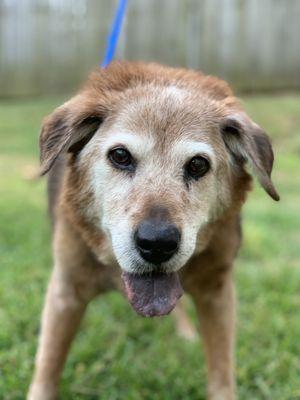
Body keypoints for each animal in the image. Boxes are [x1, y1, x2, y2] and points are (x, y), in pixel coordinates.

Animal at [28, 62, 278, 400]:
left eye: (198, 165)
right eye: (120, 156)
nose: (157, 243)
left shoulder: (217, 292)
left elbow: (222, 373)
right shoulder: (65, 293)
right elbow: (48, 367)